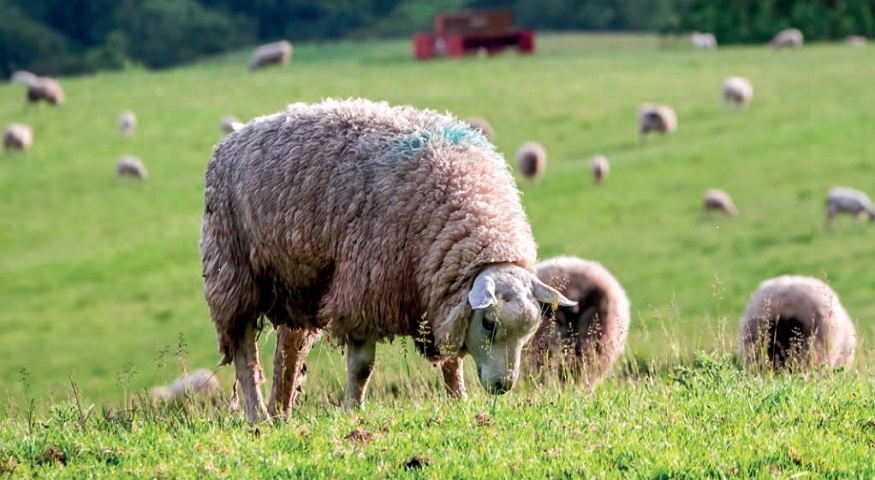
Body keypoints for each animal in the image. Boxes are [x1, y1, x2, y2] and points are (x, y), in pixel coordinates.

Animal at [202, 98, 580, 424]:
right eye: (489, 323)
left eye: (529, 329)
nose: (502, 386)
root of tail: (238, 134)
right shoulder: (363, 291)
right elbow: (362, 367)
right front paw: (353, 410)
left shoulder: (438, 296)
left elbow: (451, 362)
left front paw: (458, 399)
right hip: (232, 273)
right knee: (244, 354)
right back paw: (259, 417)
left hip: (298, 285)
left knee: (289, 351)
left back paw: (281, 412)